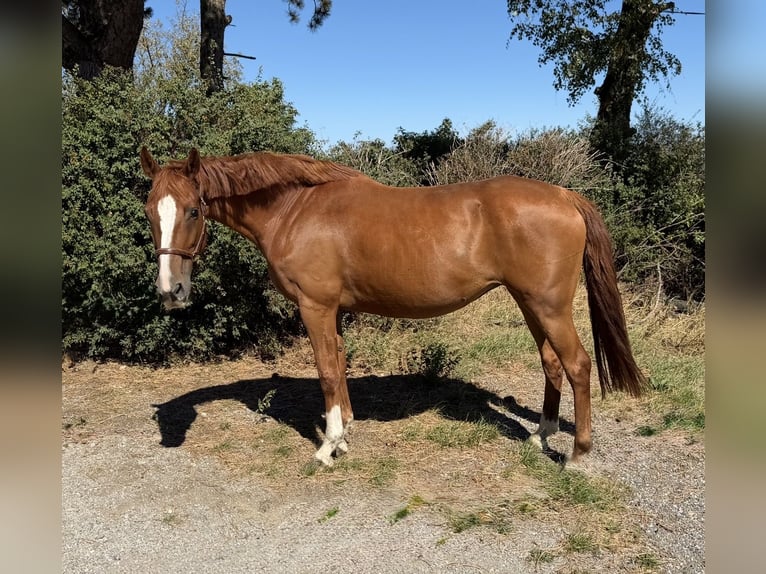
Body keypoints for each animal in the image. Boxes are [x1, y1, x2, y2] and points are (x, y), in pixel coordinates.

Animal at [139, 146, 646, 466]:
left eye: (193, 211)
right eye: (149, 211)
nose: (170, 290)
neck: (295, 210)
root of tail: (565, 195)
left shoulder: (315, 307)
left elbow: (327, 370)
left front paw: (328, 447)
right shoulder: (333, 311)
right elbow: (339, 363)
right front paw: (344, 435)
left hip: (549, 306)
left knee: (577, 365)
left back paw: (577, 455)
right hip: (530, 303)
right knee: (551, 363)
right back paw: (540, 436)